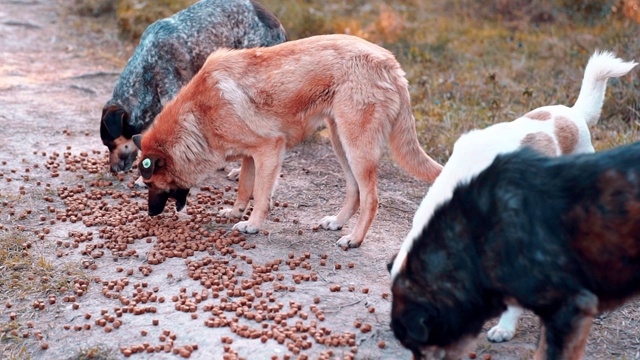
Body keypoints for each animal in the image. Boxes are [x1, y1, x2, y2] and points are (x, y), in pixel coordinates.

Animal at [134, 33, 444, 248]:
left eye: (150, 185)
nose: (150, 214)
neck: (197, 116)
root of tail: (391, 64)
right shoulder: (251, 156)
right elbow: (244, 188)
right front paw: (235, 213)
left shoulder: (269, 150)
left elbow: (260, 195)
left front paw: (252, 225)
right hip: (341, 144)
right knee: (354, 192)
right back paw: (337, 223)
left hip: (357, 150)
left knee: (371, 198)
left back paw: (355, 239)